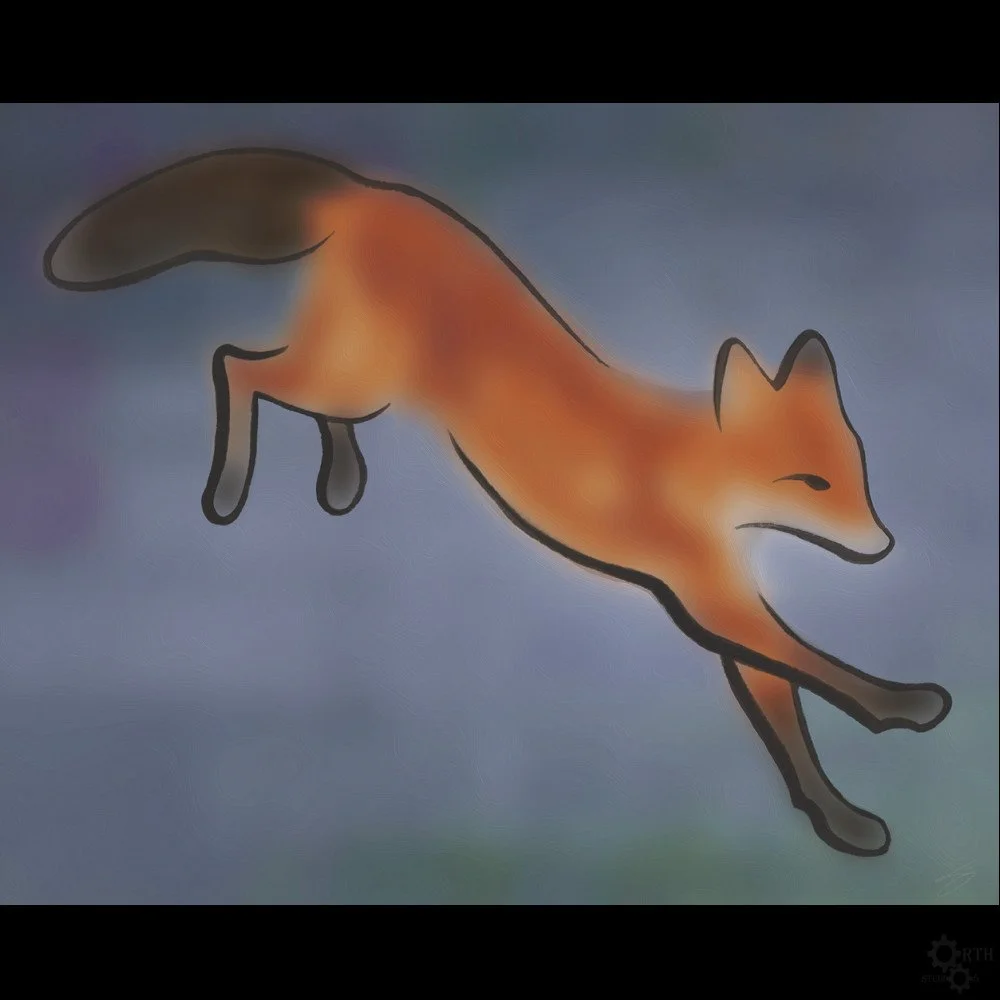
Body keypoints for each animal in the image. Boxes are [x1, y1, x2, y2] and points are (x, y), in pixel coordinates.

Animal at [42, 146, 953, 857]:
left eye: (859, 476)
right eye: (813, 486)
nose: (884, 545)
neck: (687, 475)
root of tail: (372, 191)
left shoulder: (725, 611)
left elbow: (789, 718)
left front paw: (839, 816)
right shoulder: (712, 602)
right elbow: (815, 664)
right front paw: (901, 708)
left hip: (365, 377)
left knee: (294, 394)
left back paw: (341, 480)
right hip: (353, 370)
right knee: (235, 364)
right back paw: (229, 488)